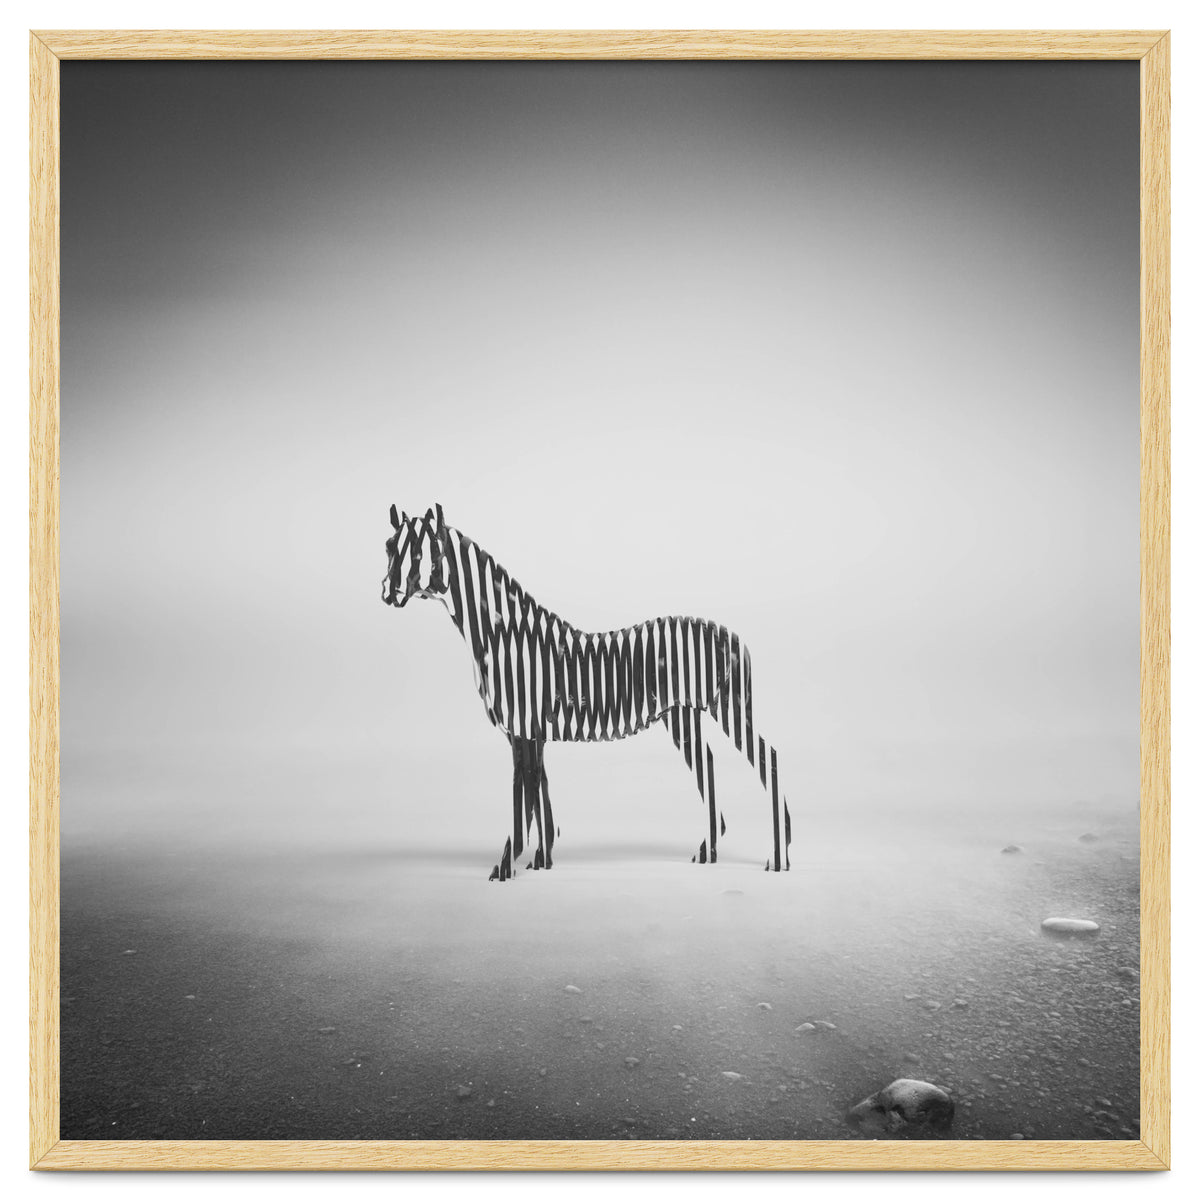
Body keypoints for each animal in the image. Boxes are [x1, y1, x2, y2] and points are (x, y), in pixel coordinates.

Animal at [381, 503, 792, 880]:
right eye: (388, 546)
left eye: (420, 553)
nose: (387, 592)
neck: (506, 636)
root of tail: (734, 636)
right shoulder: (531, 732)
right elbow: (540, 796)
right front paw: (541, 861)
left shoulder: (523, 728)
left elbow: (523, 800)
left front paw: (506, 866)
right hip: (682, 716)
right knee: (708, 763)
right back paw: (709, 852)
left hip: (728, 708)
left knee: (768, 758)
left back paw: (778, 857)